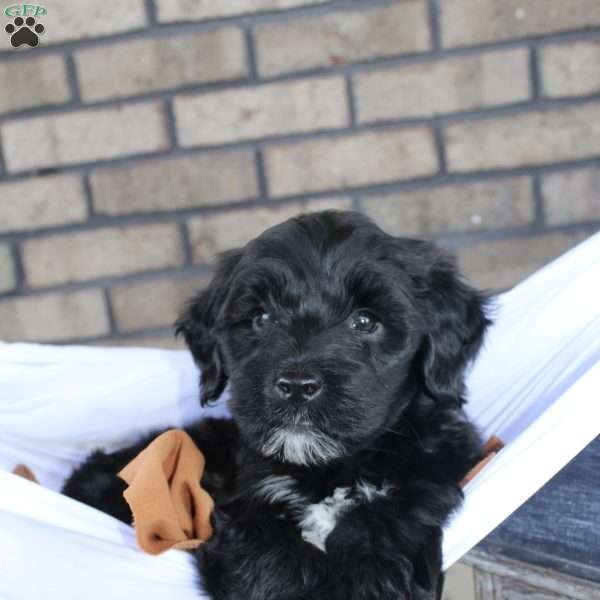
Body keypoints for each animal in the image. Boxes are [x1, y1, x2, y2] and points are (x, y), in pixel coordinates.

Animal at [63, 211, 490, 600]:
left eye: (365, 321)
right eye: (262, 318)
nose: (297, 386)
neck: (327, 472)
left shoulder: (429, 477)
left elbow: (388, 526)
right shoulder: (243, 505)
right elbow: (266, 552)